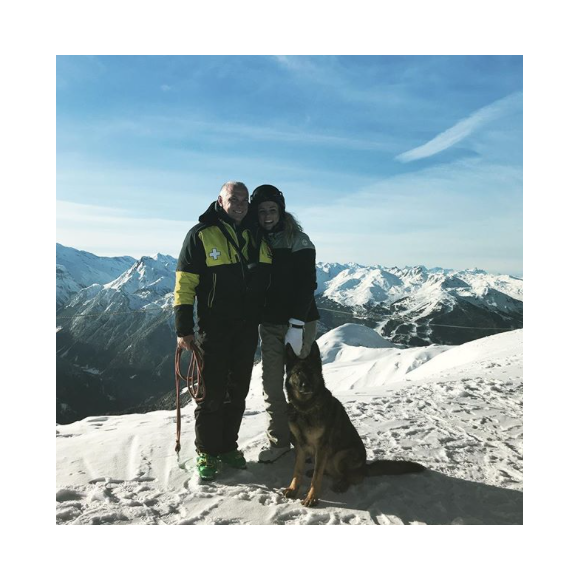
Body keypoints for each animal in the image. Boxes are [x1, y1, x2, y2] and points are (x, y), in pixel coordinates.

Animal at [284, 342, 424, 506]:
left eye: (311, 371)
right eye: (298, 372)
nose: (306, 385)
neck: (305, 408)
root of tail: (365, 467)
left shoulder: (322, 446)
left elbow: (316, 478)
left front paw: (312, 497)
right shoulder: (300, 446)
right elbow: (297, 471)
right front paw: (293, 489)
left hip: (341, 455)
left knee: (350, 477)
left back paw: (342, 484)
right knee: (327, 470)